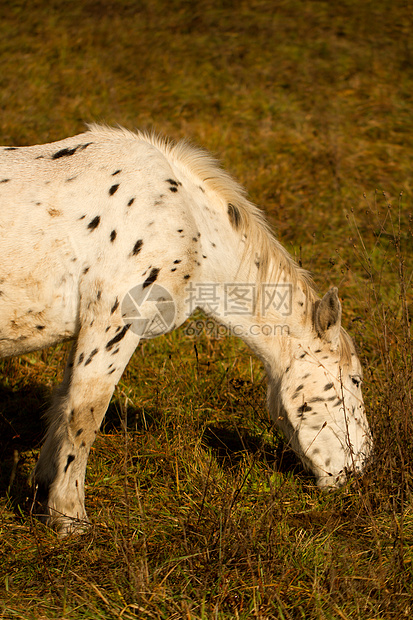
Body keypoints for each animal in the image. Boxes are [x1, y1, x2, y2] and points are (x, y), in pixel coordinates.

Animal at [0, 124, 370, 532]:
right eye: (355, 380)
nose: (361, 467)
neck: (186, 217)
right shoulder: (113, 323)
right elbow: (85, 413)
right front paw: (70, 518)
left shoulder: (88, 329)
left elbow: (63, 404)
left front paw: (44, 490)